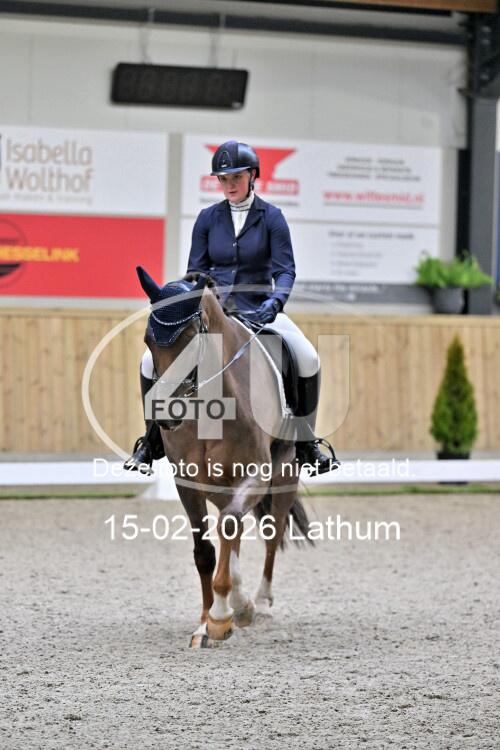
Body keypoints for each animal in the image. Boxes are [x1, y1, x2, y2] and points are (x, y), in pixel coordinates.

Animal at [136, 266, 312, 648]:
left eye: (192, 338)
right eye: (148, 341)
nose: (167, 414)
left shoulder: (257, 475)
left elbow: (231, 526)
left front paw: (220, 616)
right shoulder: (187, 482)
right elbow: (205, 550)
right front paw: (206, 622)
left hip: (284, 474)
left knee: (270, 532)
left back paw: (260, 604)